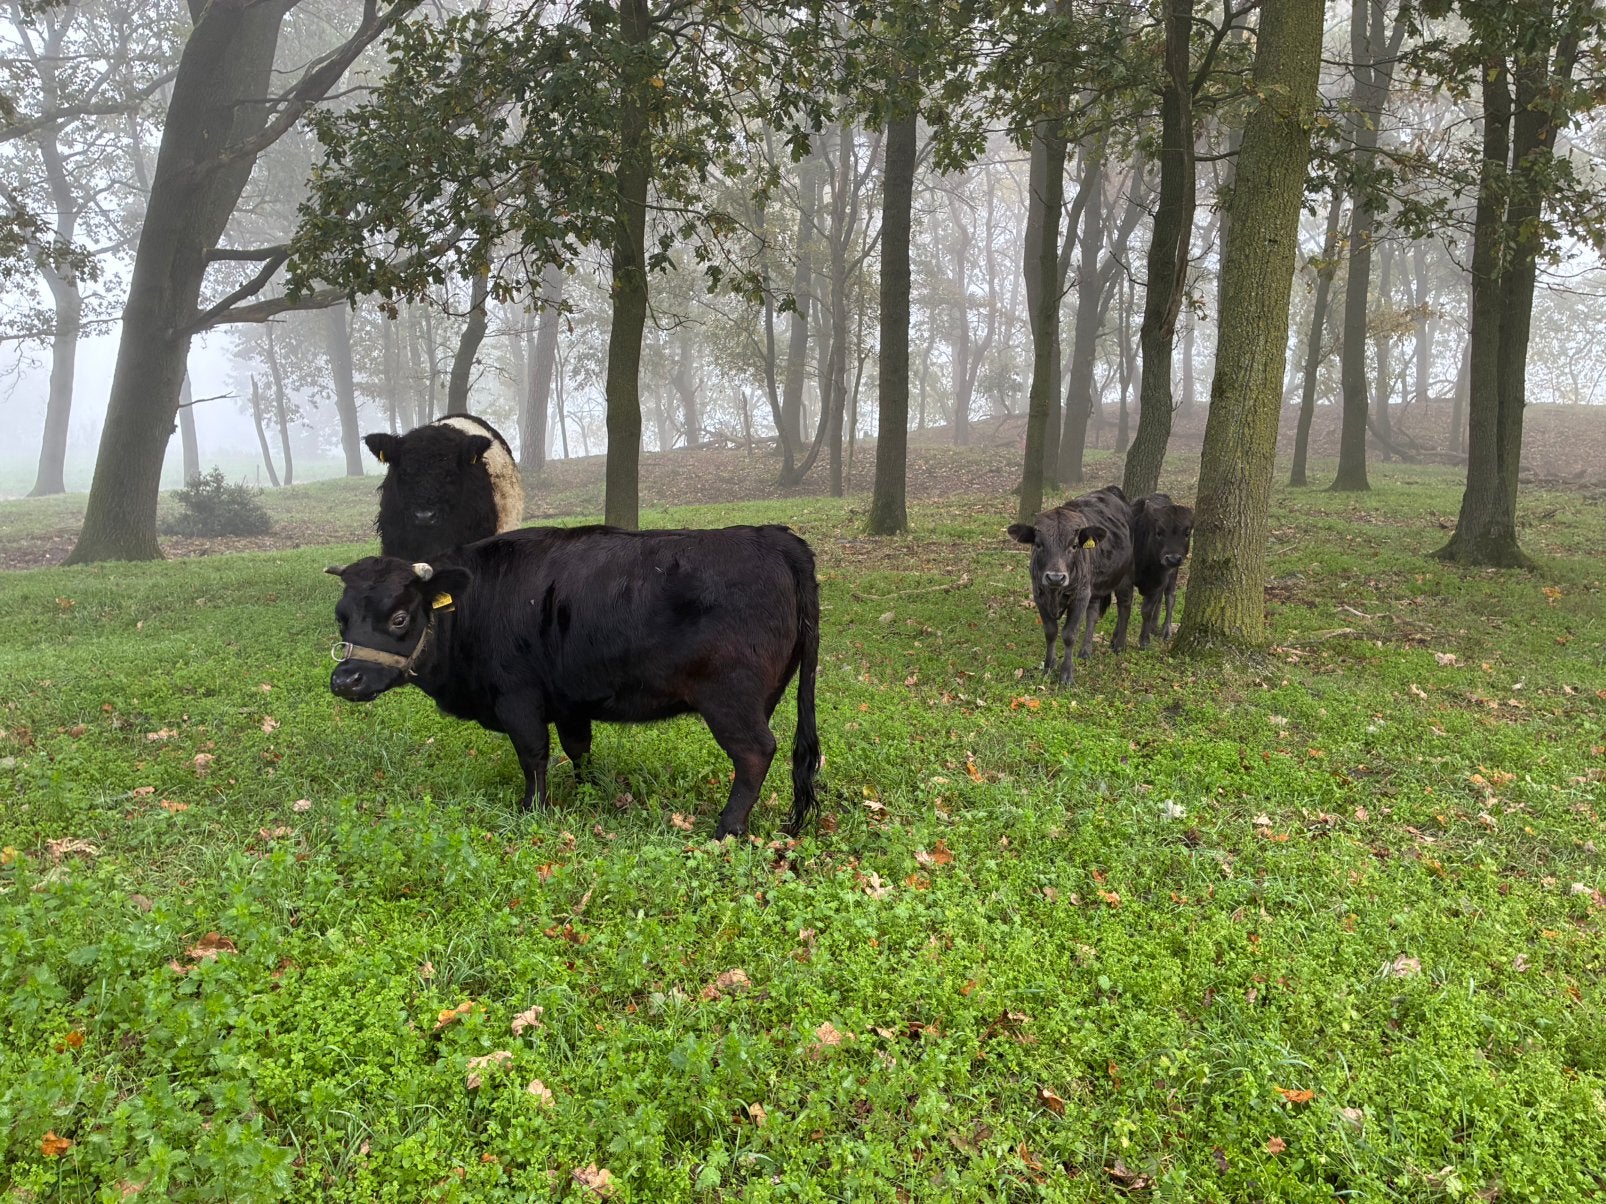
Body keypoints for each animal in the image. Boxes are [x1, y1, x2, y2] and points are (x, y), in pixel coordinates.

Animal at [325, 523, 821, 840]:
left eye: (399, 617)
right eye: (341, 616)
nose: (346, 679)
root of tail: (774, 536)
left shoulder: (517, 698)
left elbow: (533, 754)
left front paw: (533, 808)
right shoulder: (568, 700)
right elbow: (578, 747)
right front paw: (591, 790)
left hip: (729, 699)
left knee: (755, 753)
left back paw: (727, 829)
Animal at [1007, 485, 1134, 686]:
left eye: (1074, 546)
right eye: (1038, 544)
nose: (1055, 577)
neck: (1055, 592)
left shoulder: (1080, 596)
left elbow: (1069, 635)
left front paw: (1066, 674)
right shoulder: (1039, 594)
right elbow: (1051, 632)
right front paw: (1048, 666)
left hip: (1126, 575)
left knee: (1125, 606)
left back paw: (1119, 645)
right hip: (1093, 587)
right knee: (1093, 614)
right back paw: (1086, 651)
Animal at [1128, 493, 1193, 646]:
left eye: (1187, 533)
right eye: (1159, 532)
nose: (1173, 559)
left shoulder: (1159, 581)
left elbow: (1147, 610)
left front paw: (1144, 641)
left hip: (1173, 574)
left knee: (1170, 597)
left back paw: (1165, 631)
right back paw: (1154, 627)